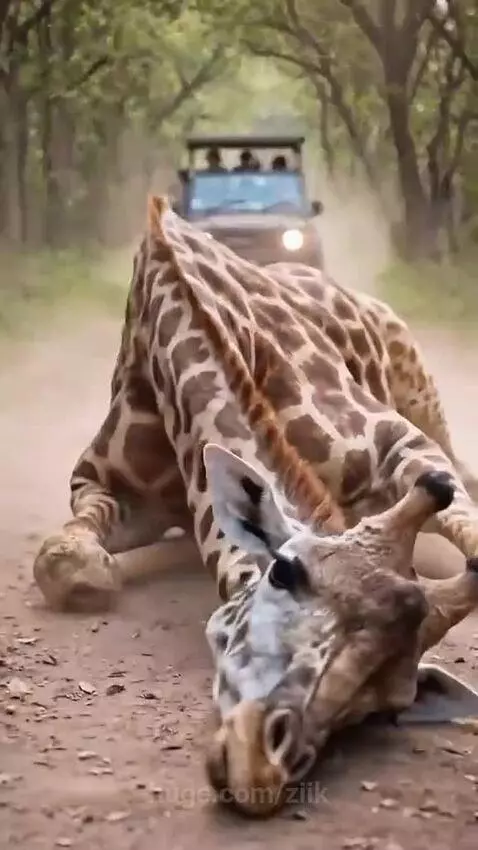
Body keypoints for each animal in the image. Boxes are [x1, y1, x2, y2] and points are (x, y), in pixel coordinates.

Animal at [32, 195, 478, 812]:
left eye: (391, 702)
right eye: (284, 572)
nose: (262, 767)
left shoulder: (398, 440)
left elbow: (464, 517)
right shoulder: (105, 483)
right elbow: (66, 553)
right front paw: (90, 576)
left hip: (422, 395)